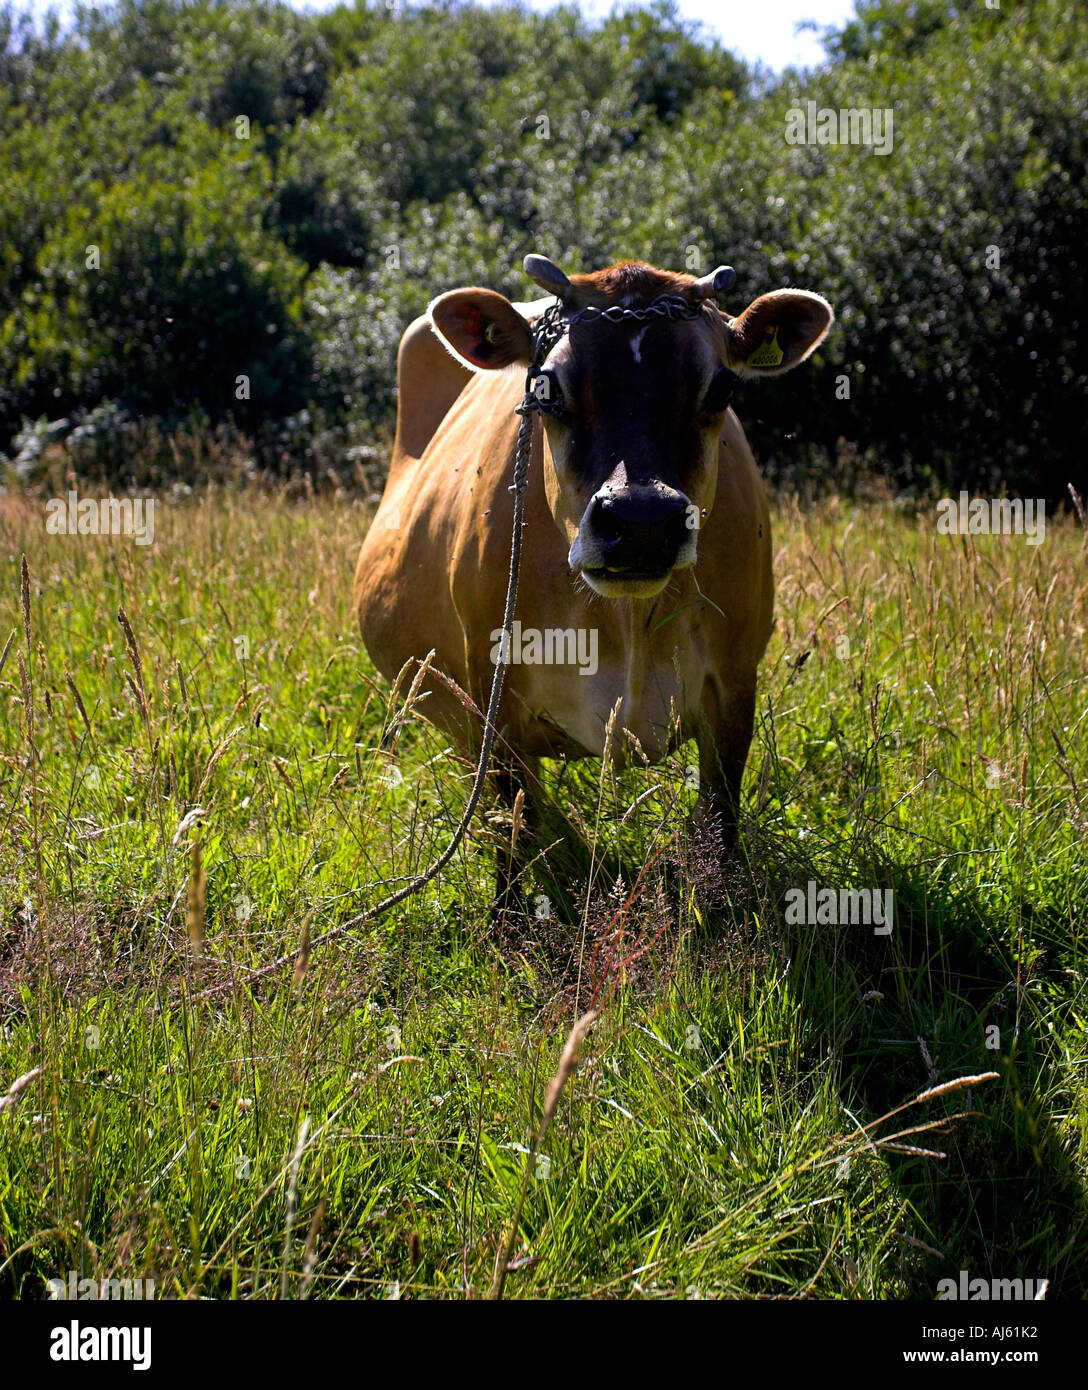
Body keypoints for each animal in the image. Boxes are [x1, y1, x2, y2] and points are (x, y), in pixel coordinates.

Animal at [354, 255, 832, 892]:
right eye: (547, 389)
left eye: (721, 389)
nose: (641, 520)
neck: (627, 621)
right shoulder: (492, 691)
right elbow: (512, 835)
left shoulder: (735, 685)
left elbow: (720, 829)